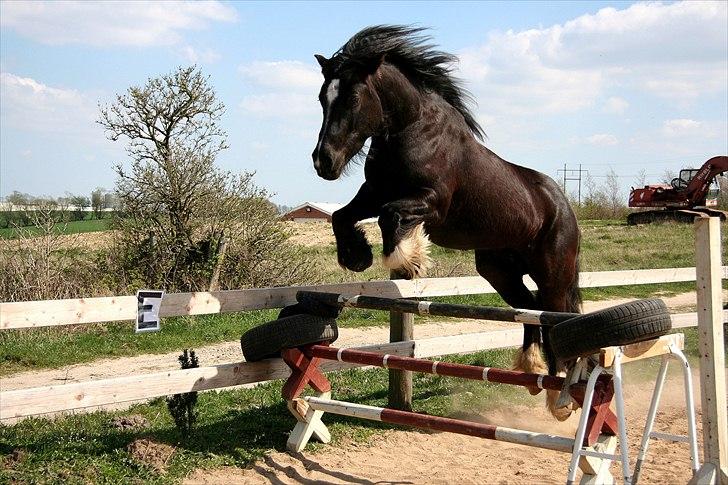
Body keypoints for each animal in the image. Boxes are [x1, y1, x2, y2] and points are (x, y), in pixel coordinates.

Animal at [310, 27, 584, 420]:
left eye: (354, 97)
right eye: (323, 97)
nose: (324, 162)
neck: (412, 131)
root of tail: (563, 206)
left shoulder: (431, 204)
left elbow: (390, 216)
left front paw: (410, 259)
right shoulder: (372, 194)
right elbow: (341, 216)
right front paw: (357, 257)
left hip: (552, 274)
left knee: (554, 315)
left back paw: (560, 396)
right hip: (499, 271)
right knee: (529, 308)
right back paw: (531, 370)